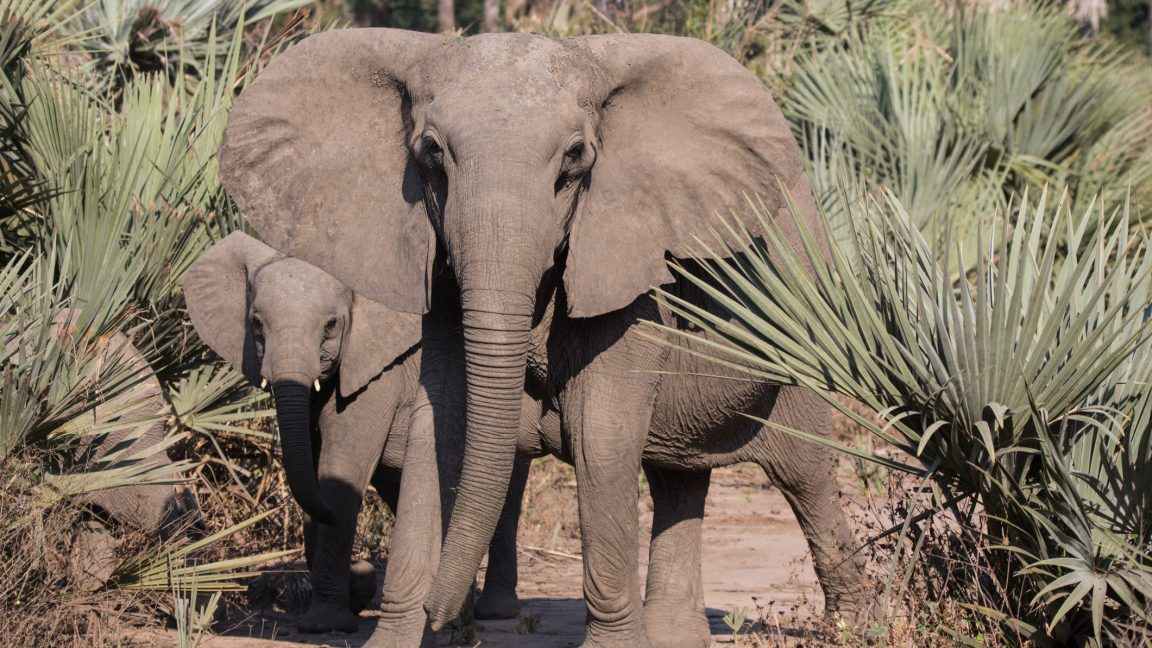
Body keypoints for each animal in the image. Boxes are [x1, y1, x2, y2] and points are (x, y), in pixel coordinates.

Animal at [184, 231, 529, 631]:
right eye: (255, 324)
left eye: (331, 325)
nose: (361, 570)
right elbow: (312, 464)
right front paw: (352, 593)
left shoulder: (379, 374)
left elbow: (340, 470)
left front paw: (325, 623)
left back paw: (489, 612)